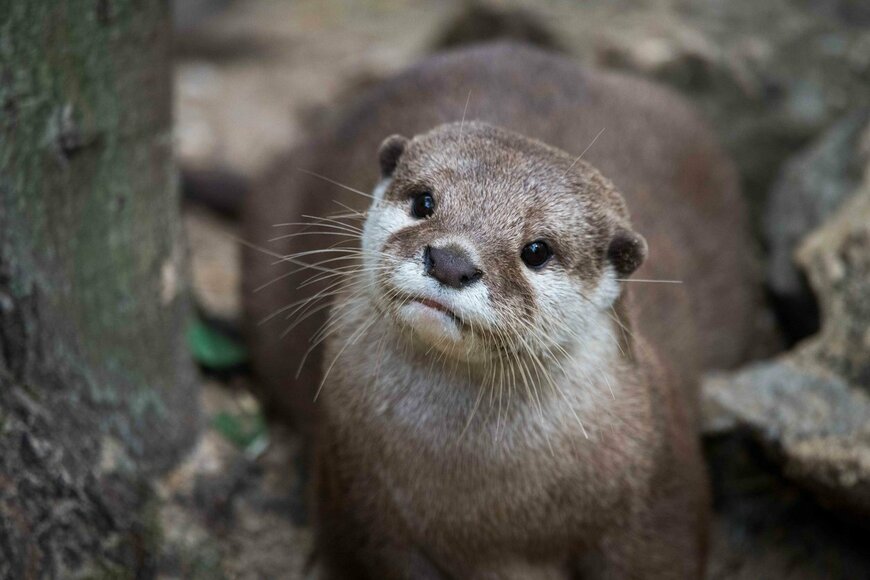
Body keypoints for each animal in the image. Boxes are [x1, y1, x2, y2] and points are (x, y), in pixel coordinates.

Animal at [244, 44, 764, 576]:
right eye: (424, 201)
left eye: (536, 250)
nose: (451, 261)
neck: (493, 513)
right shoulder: (359, 503)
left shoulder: (660, 496)